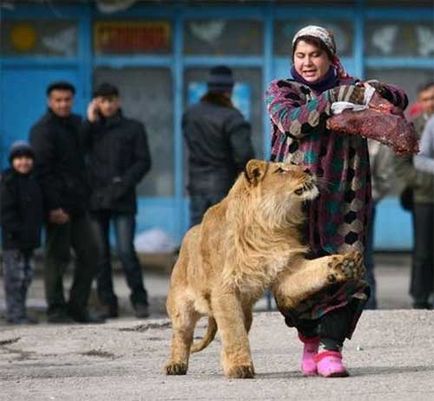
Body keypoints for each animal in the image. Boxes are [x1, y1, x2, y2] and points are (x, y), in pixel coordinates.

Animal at [164, 158, 364, 376]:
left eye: (294, 164)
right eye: (281, 170)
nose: (309, 169)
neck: (270, 225)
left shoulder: (286, 271)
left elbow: (313, 271)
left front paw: (344, 264)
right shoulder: (224, 290)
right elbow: (234, 332)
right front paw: (240, 367)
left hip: (245, 312)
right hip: (181, 307)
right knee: (181, 336)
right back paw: (176, 364)